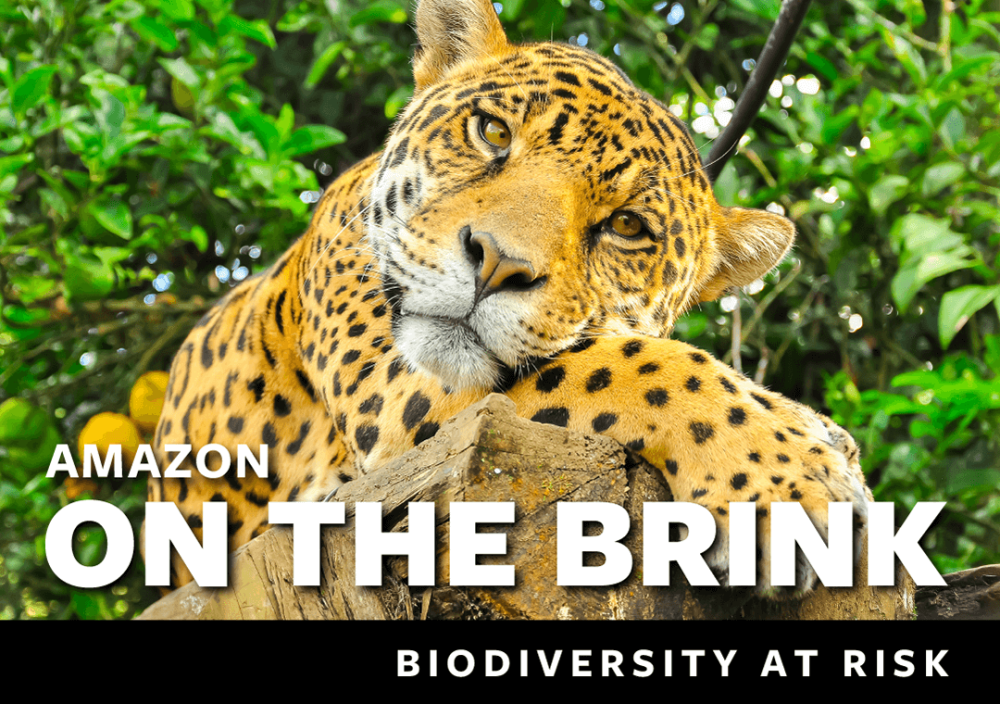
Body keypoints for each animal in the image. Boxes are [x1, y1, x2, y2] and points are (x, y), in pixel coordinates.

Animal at [149, 0, 870, 598]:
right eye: (492, 132)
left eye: (627, 226)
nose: (497, 262)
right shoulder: (397, 396)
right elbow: (633, 365)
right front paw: (787, 484)